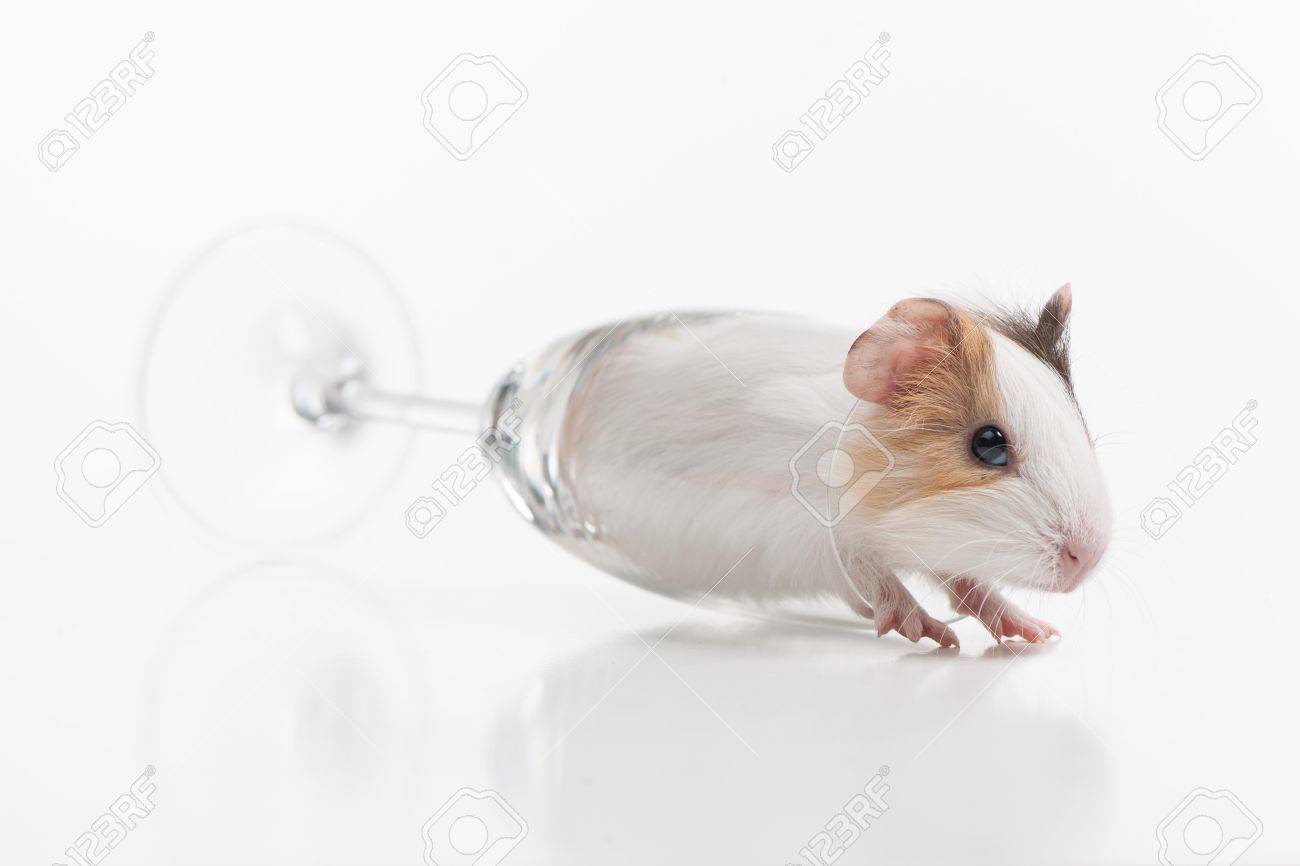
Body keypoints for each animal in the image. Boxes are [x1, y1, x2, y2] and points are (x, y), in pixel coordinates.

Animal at [489, 285, 1111, 648]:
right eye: (989, 445)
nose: (1088, 559)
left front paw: (1034, 634)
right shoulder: (816, 543)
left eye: (1082, 427)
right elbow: (877, 580)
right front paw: (932, 634)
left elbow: (965, 582)